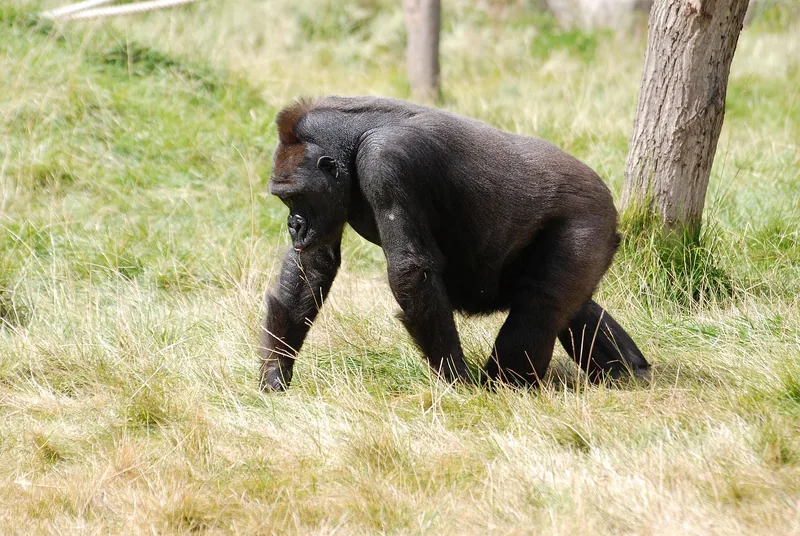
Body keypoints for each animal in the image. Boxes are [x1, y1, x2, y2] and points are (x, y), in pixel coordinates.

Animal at [259, 96, 650, 391]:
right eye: (285, 199)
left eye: (297, 197)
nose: (294, 226)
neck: (352, 139)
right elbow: (313, 264)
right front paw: (276, 371)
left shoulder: (387, 161)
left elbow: (411, 270)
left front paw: (455, 379)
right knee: (572, 306)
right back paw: (628, 369)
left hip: (589, 216)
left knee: (540, 305)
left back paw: (508, 386)